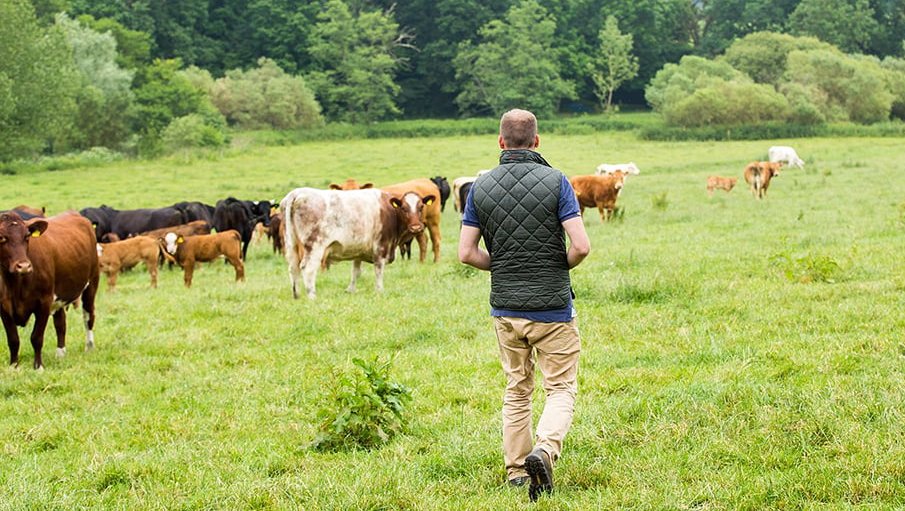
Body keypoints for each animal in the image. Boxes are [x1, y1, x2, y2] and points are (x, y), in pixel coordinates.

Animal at [0, 210, 100, 370]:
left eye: (26, 236)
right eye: (2, 237)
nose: (24, 266)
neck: (16, 285)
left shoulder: (44, 302)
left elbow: (36, 337)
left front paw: (38, 366)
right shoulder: (4, 307)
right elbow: (13, 339)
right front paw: (13, 367)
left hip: (91, 285)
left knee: (88, 317)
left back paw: (89, 346)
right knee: (61, 323)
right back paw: (60, 353)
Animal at [282, 188, 434, 300]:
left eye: (421, 207)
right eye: (403, 208)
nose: (416, 227)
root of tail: (297, 193)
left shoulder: (358, 251)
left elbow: (356, 271)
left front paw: (350, 290)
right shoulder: (381, 247)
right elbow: (379, 270)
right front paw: (379, 291)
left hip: (291, 244)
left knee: (293, 268)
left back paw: (296, 295)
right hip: (315, 246)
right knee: (308, 268)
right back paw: (312, 296)